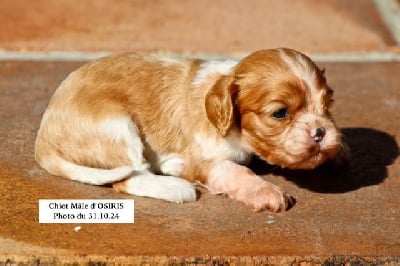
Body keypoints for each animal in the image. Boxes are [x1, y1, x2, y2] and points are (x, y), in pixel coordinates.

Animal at [36, 48, 348, 212]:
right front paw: (266, 191)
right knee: (127, 177)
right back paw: (175, 188)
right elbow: (236, 171)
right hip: (119, 126)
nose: (321, 132)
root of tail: (43, 135)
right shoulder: (197, 160)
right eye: (280, 113)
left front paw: (339, 152)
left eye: (327, 105)